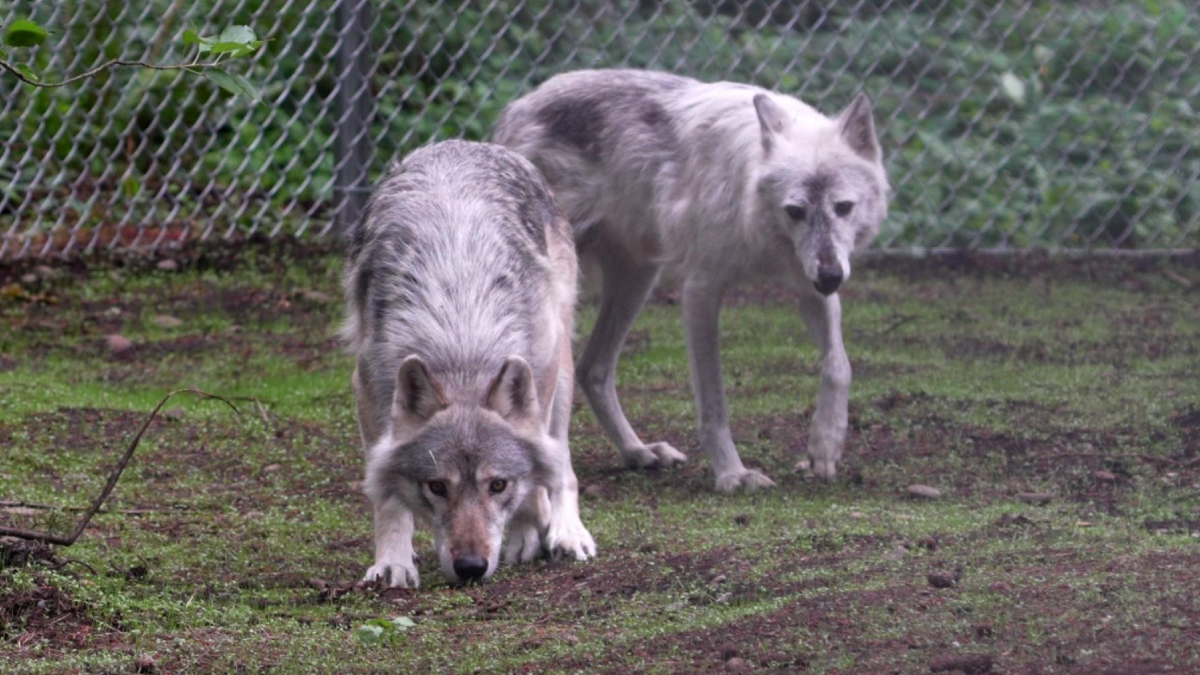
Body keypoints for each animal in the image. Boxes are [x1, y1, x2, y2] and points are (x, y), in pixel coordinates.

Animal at [340, 140, 595, 588]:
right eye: (437, 487)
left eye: (498, 485)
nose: (472, 568)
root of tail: (469, 144)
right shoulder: (368, 388)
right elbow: (387, 497)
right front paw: (393, 562)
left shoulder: (542, 374)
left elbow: (538, 472)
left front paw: (528, 533)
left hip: (561, 368)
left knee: (560, 460)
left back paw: (565, 532)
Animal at [495, 69, 889, 492]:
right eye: (795, 211)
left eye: (843, 207)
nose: (831, 277)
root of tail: (516, 109)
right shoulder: (701, 290)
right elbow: (714, 403)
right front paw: (733, 474)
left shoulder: (808, 281)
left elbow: (839, 365)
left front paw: (825, 446)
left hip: (638, 279)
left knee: (592, 369)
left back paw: (638, 452)